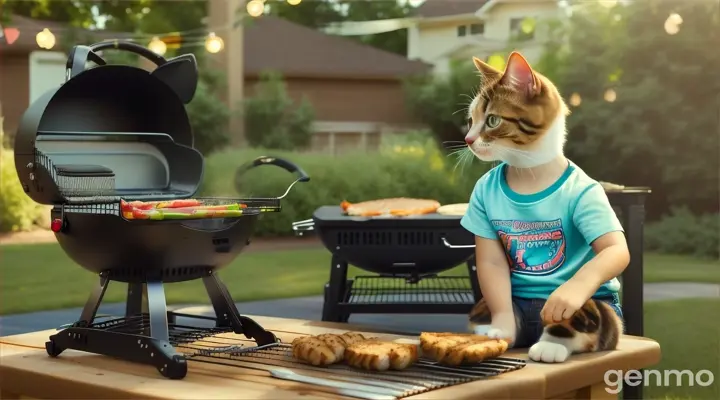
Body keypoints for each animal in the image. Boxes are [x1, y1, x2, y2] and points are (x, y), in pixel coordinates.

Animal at [462, 52, 632, 362]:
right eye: (471, 120)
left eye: (492, 120)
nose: (468, 140)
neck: (531, 173)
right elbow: (492, 268)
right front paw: (500, 329)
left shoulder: (590, 192)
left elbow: (614, 249)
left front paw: (563, 301)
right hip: (484, 307)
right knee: (482, 308)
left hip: (606, 311)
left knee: (590, 316)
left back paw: (550, 345)